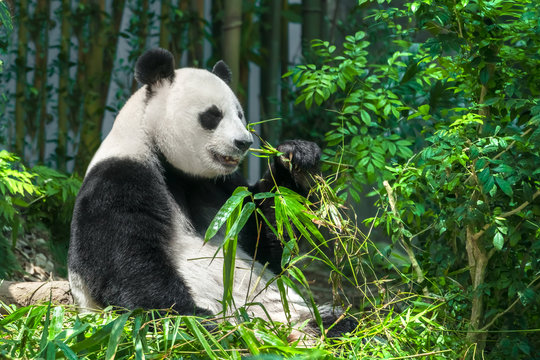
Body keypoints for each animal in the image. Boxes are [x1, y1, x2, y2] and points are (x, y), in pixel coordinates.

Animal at [68, 47, 346, 334]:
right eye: (213, 115)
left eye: (240, 114)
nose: (244, 142)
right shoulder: (119, 178)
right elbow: (129, 264)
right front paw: (197, 321)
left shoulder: (222, 187)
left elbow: (265, 243)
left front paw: (295, 158)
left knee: (337, 321)